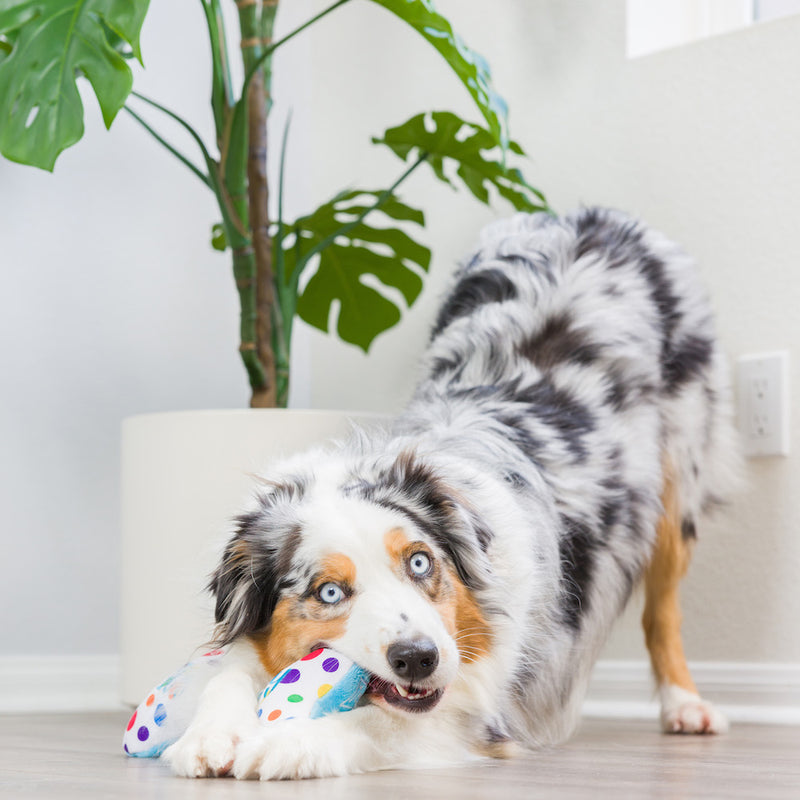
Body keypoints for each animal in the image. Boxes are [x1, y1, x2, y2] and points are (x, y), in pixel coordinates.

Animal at [162, 208, 736, 780]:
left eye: (421, 562)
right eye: (328, 593)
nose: (418, 658)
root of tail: (591, 215)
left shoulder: (474, 716)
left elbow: (377, 721)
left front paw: (286, 741)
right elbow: (228, 672)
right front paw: (209, 734)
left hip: (679, 481)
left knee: (662, 607)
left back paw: (686, 705)